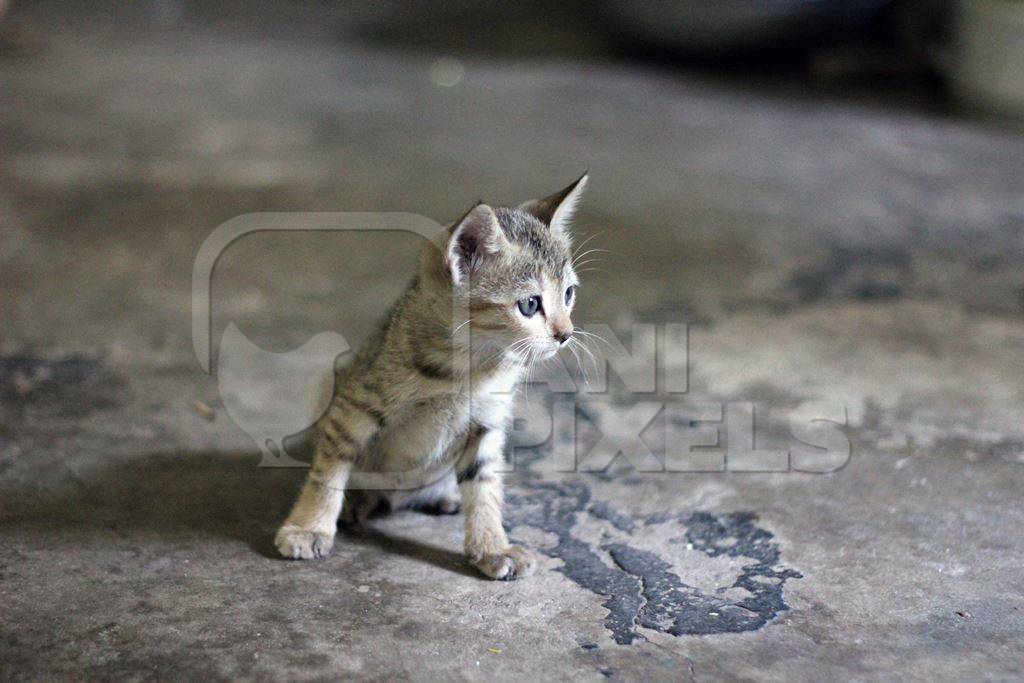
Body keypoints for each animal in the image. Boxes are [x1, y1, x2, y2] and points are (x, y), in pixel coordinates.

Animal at [276, 174, 589, 581]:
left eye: (568, 294)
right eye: (530, 304)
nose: (565, 334)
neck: (473, 367)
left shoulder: (487, 422)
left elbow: (485, 484)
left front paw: (492, 546)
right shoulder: (353, 405)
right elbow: (328, 470)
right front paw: (309, 527)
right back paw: (357, 502)